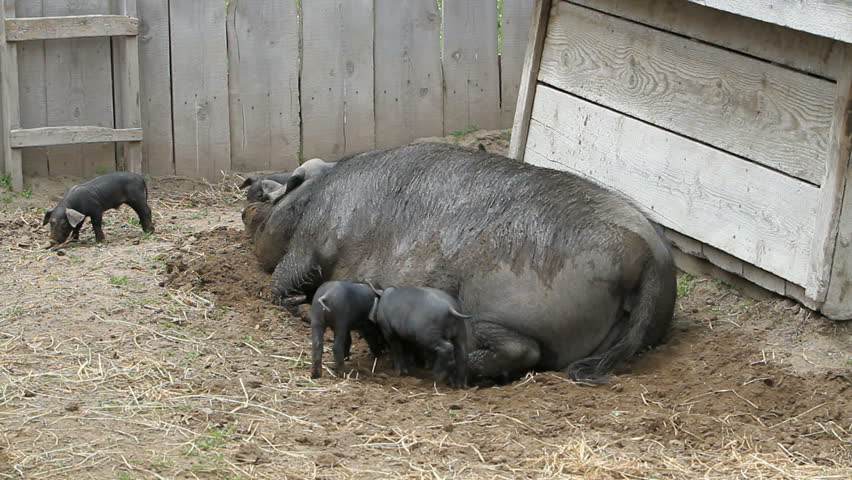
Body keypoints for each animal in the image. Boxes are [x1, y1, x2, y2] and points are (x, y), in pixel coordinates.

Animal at [244, 142, 676, 384]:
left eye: (273, 196)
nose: (248, 193)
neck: (317, 190)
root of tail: (645, 252)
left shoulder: (311, 243)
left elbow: (280, 282)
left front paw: (297, 306)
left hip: (495, 306)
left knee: (522, 350)